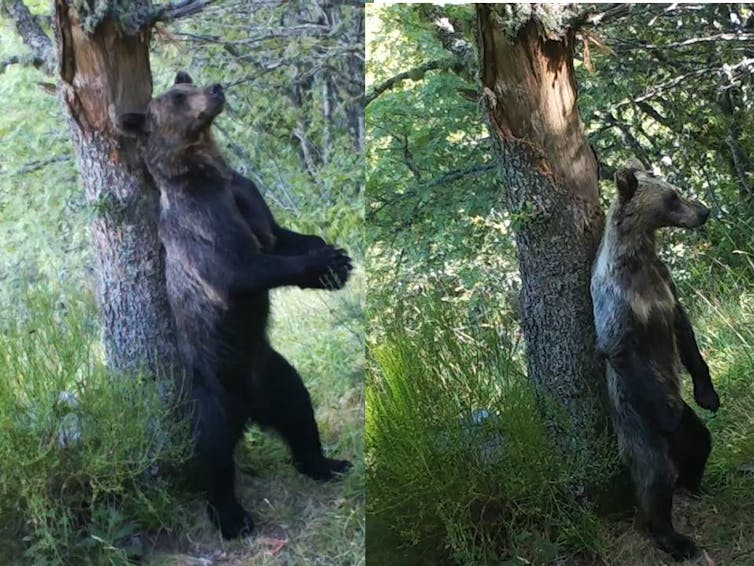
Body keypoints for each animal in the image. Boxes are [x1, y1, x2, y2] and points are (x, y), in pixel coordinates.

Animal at [118, 73, 352, 544]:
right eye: (177, 97)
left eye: (185, 80)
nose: (215, 88)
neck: (207, 171)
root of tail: (248, 406)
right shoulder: (202, 222)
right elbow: (237, 270)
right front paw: (323, 263)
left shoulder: (244, 193)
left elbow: (279, 235)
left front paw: (335, 261)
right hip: (211, 392)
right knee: (213, 451)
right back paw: (231, 518)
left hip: (272, 371)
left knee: (299, 410)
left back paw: (326, 463)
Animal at [592, 161, 720, 564]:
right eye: (672, 196)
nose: (703, 211)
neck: (638, 261)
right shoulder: (619, 305)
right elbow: (619, 348)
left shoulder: (665, 288)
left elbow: (686, 336)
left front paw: (708, 394)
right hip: (637, 425)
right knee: (655, 478)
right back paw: (675, 538)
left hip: (679, 412)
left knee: (699, 440)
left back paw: (693, 483)